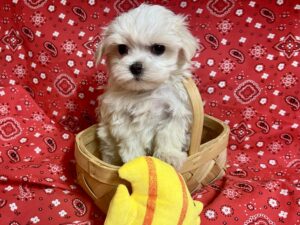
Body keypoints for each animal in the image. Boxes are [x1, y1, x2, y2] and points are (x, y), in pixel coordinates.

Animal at [96, 3, 198, 170]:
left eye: (158, 48)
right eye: (122, 49)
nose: (136, 67)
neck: (146, 91)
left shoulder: (176, 111)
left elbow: (169, 134)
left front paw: (169, 156)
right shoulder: (119, 113)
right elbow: (128, 136)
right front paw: (134, 158)